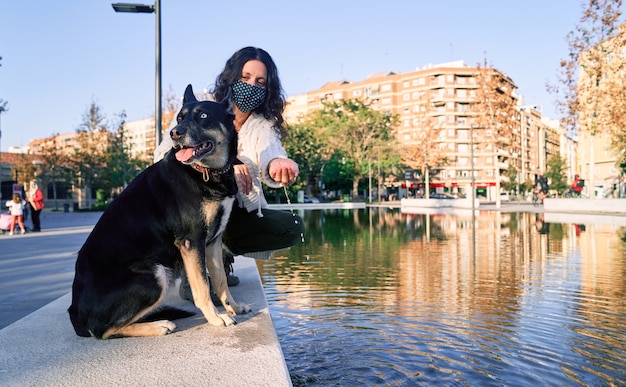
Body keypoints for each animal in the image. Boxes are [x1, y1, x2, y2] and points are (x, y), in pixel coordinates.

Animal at [69, 85, 249, 340]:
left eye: (203, 116)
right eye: (180, 118)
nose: (174, 133)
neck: (204, 172)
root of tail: (75, 314)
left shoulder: (213, 242)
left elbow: (220, 280)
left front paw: (233, 307)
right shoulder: (191, 242)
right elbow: (202, 286)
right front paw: (216, 318)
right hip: (154, 274)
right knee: (104, 331)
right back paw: (158, 325)